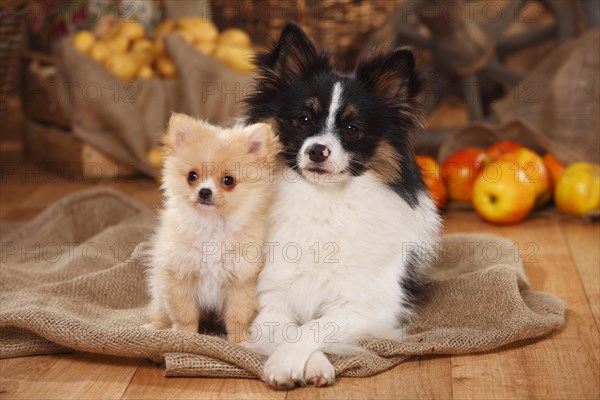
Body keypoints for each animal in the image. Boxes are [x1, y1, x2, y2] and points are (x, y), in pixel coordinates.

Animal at [143, 113, 278, 344]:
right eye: (192, 176)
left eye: (228, 180)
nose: (205, 192)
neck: (211, 226)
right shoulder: (179, 276)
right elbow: (184, 314)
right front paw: (185, 336)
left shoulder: (241, 280)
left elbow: (237, 316)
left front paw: (240, 341)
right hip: (160, 290)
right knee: (160, 312)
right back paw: (154, 327)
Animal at [244, 23, 440, 390]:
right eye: (303, 120)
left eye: (352, 128)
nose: (317, 150)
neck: (323, 199)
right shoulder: (270, 301)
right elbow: (289, 328)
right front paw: (300, 364)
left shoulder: (366, 307)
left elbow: (315, 326)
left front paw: (291, 362)